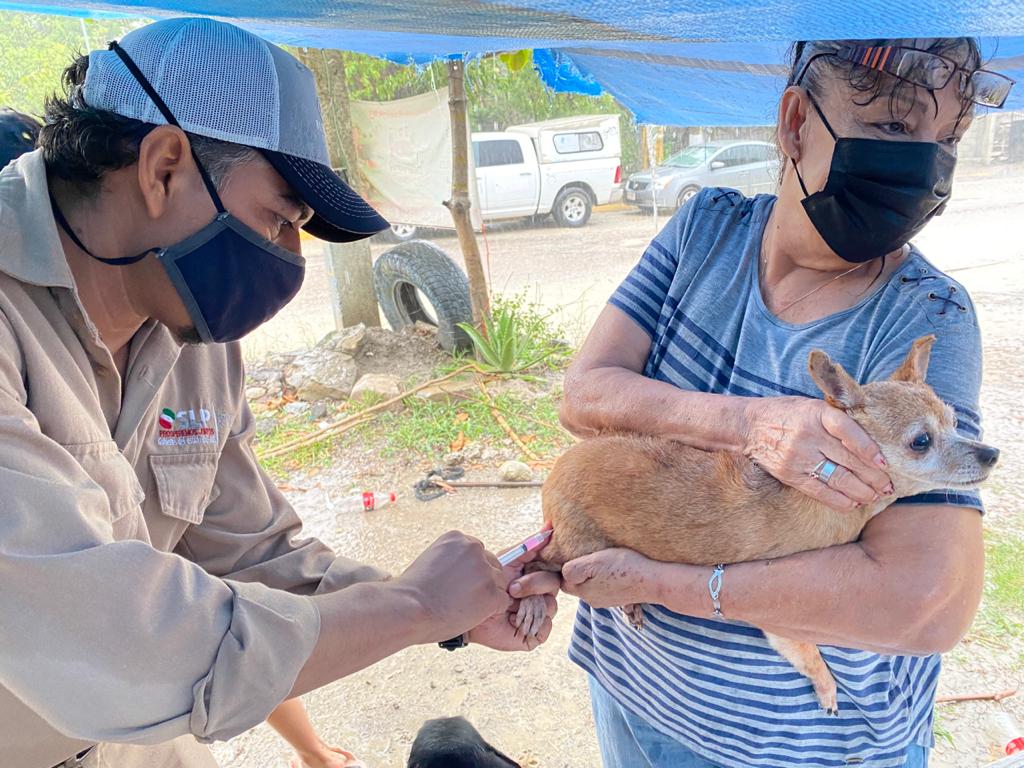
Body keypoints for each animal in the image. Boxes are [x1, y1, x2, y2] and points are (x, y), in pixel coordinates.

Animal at [516, 335, 995, 716]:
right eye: (921, 441)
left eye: (956, 422)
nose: (991, 453)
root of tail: (555, 472)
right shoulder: (783, 626)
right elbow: (812, 655)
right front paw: (826, 688)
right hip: (574, 547)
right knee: (538, 566)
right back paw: (533, 600)